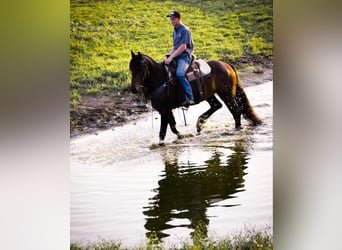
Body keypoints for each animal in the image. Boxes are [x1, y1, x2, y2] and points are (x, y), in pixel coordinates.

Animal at [130, 50, 260, 145]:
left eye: (140, 68)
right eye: (131, 68)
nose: (133, 89)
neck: (161, 79)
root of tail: (227, 65)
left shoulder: (165, 110)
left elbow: (165, 129)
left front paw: (164, 143)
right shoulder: (166, 110)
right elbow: (172, 126)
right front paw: (181, 136)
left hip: (226, 95)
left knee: (235, 111)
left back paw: (236, 129)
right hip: (209, 95)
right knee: (217, 105)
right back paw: (200, 123)